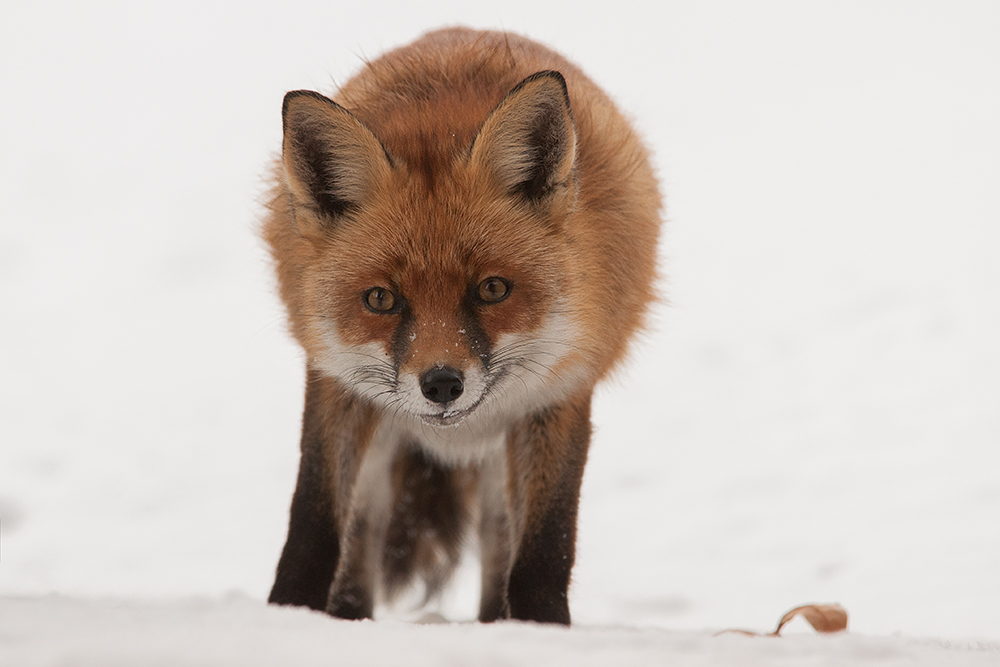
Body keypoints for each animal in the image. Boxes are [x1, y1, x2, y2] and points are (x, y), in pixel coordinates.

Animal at [262, 27, 660, 628]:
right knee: (361, 536)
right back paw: (350, 616)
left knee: (499, 545)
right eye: (381, 299)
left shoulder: (561, 393)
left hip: (501, 460)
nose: (442, 384)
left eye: (492, 289)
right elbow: (312, 523)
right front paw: (289, 613)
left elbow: (545, 548)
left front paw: (543, 630)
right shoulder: (337, 382)